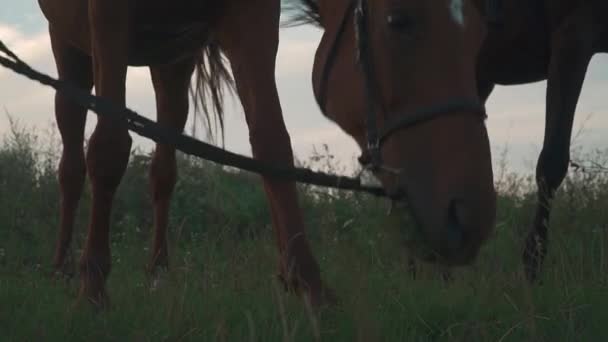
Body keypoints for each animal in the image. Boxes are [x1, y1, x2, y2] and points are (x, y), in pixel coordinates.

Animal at [38, 0, 496, 308]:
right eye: (399, 21)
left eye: (479, 35)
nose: (469, 217)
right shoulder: (107, 16)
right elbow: (109, 146)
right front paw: (93, 288)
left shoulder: (250, 20)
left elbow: (272, 144)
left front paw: (310, 286)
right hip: (71, 51)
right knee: (72, 164)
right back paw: (60, 268)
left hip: (172, 64)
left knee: (163, 169)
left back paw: (159, 272)